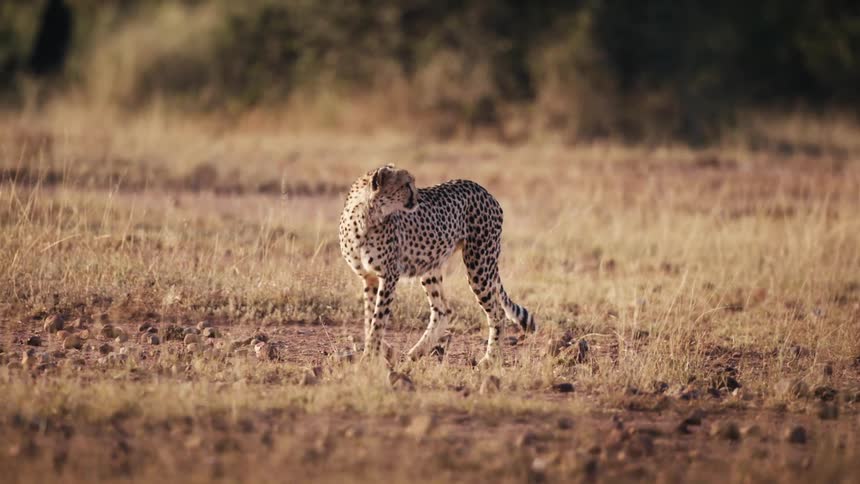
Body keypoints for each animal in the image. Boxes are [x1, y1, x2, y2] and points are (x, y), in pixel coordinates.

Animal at [338, 164, 535, 366]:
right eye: (406, 185)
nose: (418, 199)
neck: (366, 218)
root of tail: (483, 190)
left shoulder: (389, 276)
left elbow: (377, 320)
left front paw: (369, 356)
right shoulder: (369, 278)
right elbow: (369, 319)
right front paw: (381, 350)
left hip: (479, 264)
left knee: (497, 313)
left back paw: (489, 359)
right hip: (430, 265)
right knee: (443, 310)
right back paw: (417, 351)